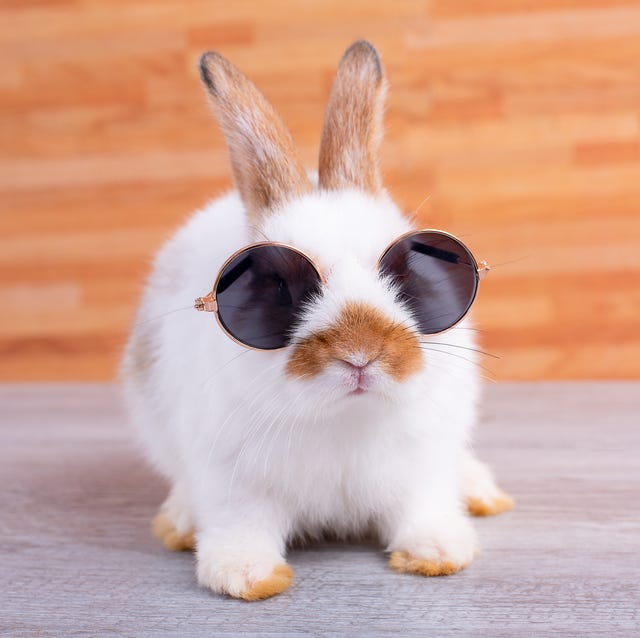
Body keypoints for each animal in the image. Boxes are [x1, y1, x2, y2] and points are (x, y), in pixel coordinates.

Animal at [121, 41, 516, 604]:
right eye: (278, 288)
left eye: (409, 277)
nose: (361, 354)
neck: (343, 420)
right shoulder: (232, 480)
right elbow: (241, 527)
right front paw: (247, 577)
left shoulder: (420, 467)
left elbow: (422, 510)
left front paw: (439, 554)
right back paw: (178, 522)